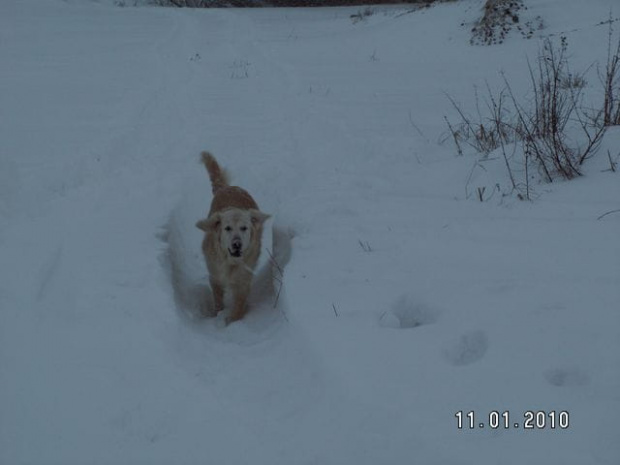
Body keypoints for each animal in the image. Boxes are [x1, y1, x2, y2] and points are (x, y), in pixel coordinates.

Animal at [196, 151, 268, 322]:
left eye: (244, 228)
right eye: (227, 228)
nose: (237, 244)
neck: (230, 262)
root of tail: (228, 187)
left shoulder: (243, 280)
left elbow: (238, 307)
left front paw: (229, 320)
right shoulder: (214, 275)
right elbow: (217, 300)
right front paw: (218, 314)